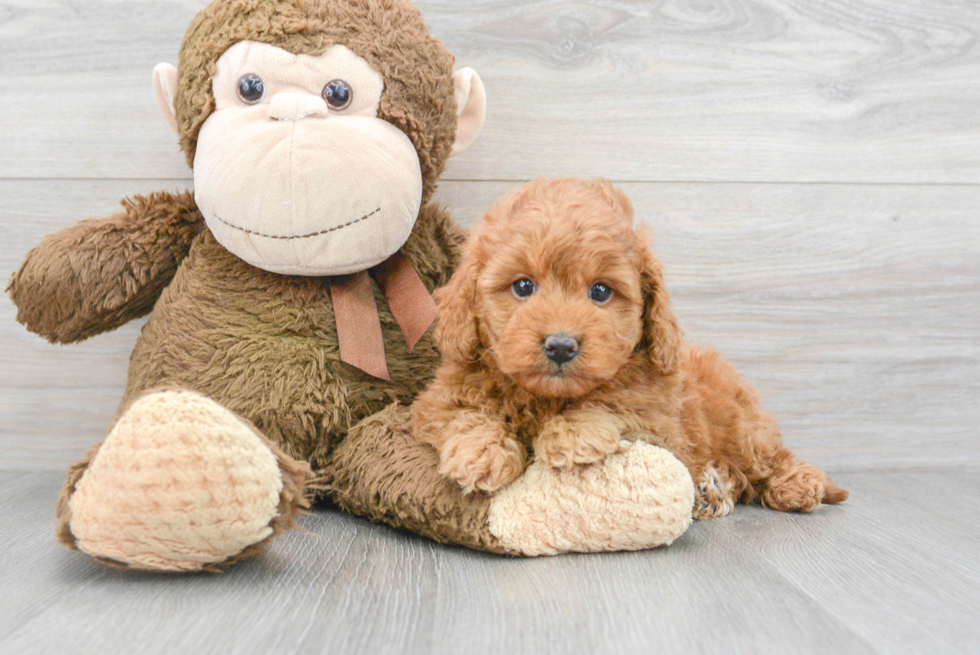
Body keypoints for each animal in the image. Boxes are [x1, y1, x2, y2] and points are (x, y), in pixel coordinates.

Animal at [410, 177, 848, 520]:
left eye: (601, 291)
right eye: (522, 286)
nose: (561, 345)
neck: (548, 398)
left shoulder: (660, 424)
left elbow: (615, 403)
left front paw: (571, 435)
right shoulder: (438, 399)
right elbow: (464, 414)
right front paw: (480, 453)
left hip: (743, 429)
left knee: (770, 457)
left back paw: (796, 484)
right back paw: (713, 490)